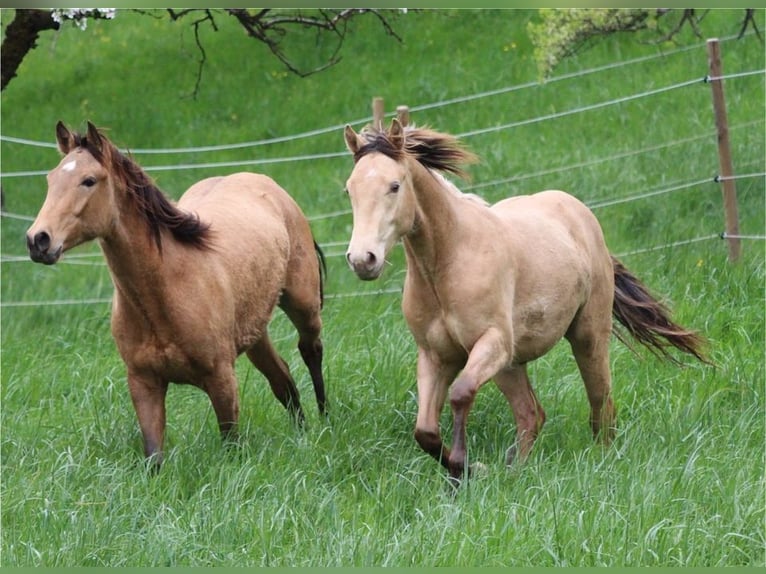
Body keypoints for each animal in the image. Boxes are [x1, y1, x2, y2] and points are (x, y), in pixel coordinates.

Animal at [26, 121, 328, 468]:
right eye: (51, 179)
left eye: (88, 181)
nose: (38, 240)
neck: (167, 290)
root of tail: (266, 184)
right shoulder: (144, 384)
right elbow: (154, 457)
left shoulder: (222, 380)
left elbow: (231, 445)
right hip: (255, 333)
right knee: (283, 381)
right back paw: (302, 433)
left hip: (302, 305)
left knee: (310, 351)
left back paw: (325, 421)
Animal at [344, 120, 712, 486]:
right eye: (349, 190)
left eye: (394, 186)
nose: (363, 259)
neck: (448, 261)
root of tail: (579, 212)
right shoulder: (436, 357)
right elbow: (425, 432)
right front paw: (465, 471)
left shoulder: (492, 343)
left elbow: (461, 393)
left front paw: (466, 466)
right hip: (511, 365)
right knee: (531, 413)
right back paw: (515, 470)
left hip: (586, 338)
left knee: (600, 404)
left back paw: (601, 460)